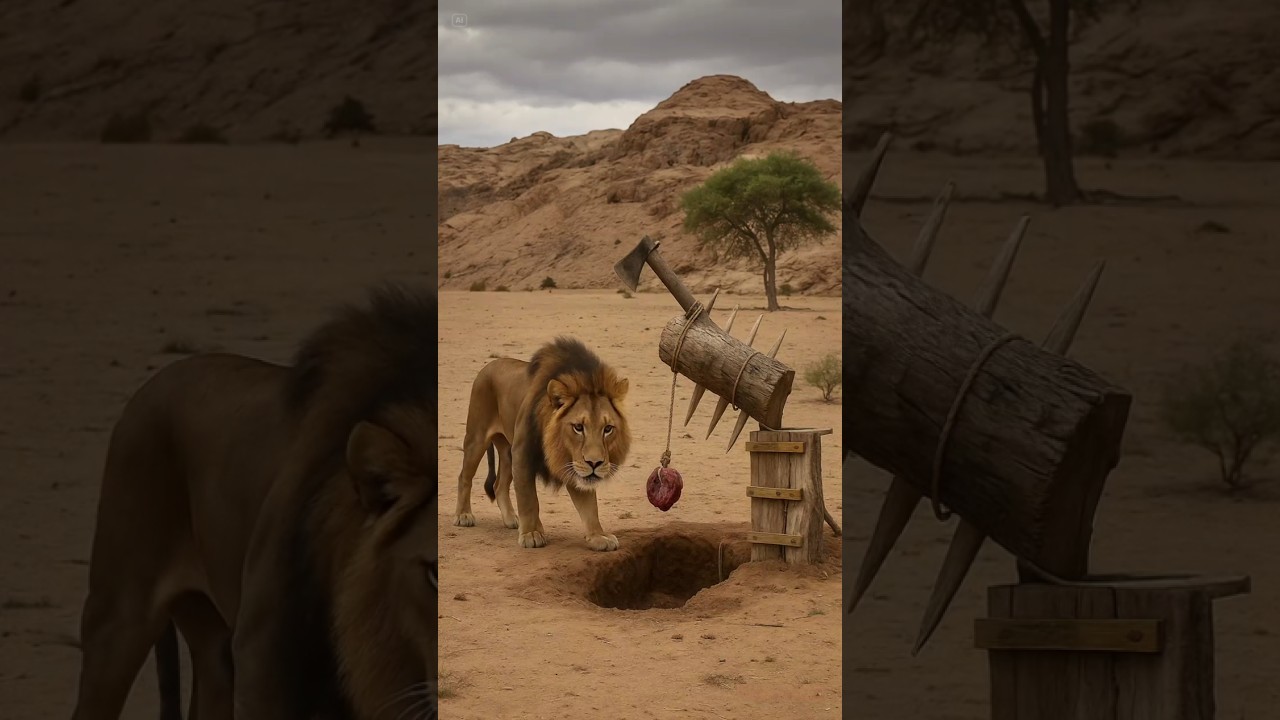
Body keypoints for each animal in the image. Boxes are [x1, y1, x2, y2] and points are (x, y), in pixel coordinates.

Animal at [454, 337, 632, 551]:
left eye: (608, 429)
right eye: (578, 427)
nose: (594, 463)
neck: (556, 447)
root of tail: (489, 365)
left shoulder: (572, 464)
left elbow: (589, 506)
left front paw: (598, 536)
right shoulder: (523, 453)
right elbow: (529, 498)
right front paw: (531, 534)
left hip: (507, 451)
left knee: (499, 485)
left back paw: (511, 519)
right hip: (477, 438)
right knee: (464, 476)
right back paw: (463, 515)